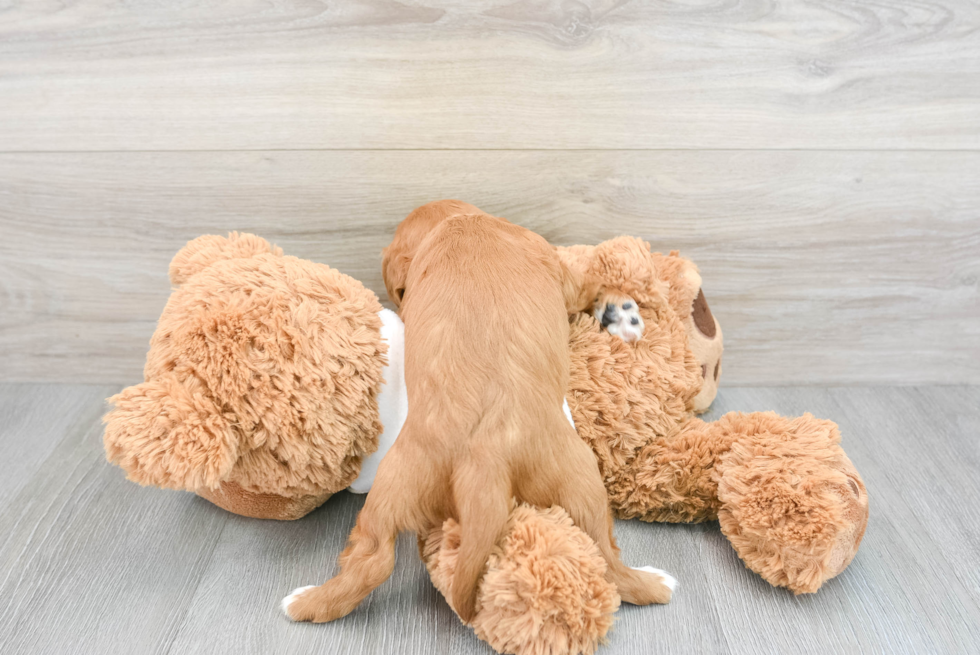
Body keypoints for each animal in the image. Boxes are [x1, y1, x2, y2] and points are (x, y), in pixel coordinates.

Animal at [280, 200, 668, 624]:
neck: (456, 219)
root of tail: (484, 461)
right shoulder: (562, 274)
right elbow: (593, 280)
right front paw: (619, 310)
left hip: (395, 485)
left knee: (373, 558)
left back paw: (304, 602)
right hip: (581, 481)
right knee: (607, 561)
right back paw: (655, 583)